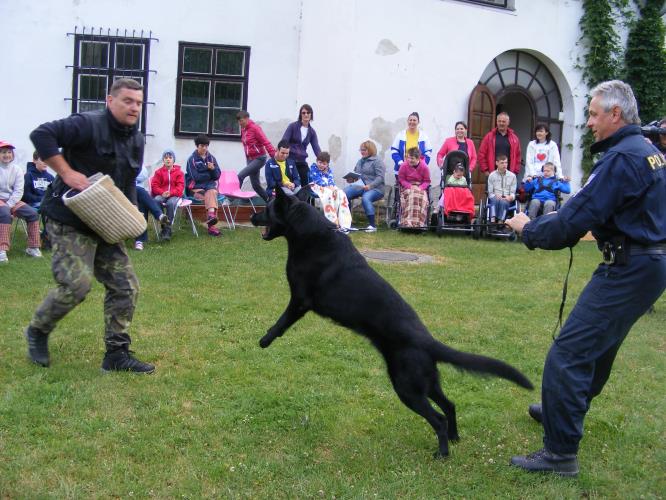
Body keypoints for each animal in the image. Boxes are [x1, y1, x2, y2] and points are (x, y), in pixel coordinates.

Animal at [252, 189, 532, 458]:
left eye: (267, 208)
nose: (253, 216)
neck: (311, 234)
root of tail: (429, 342)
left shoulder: (300, 300)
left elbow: (282, 321)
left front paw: (265, 340)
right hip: (427, 384)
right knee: (450, 405)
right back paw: (454, 438)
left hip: (407, 388)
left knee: (438, 418)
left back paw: (442, 453)